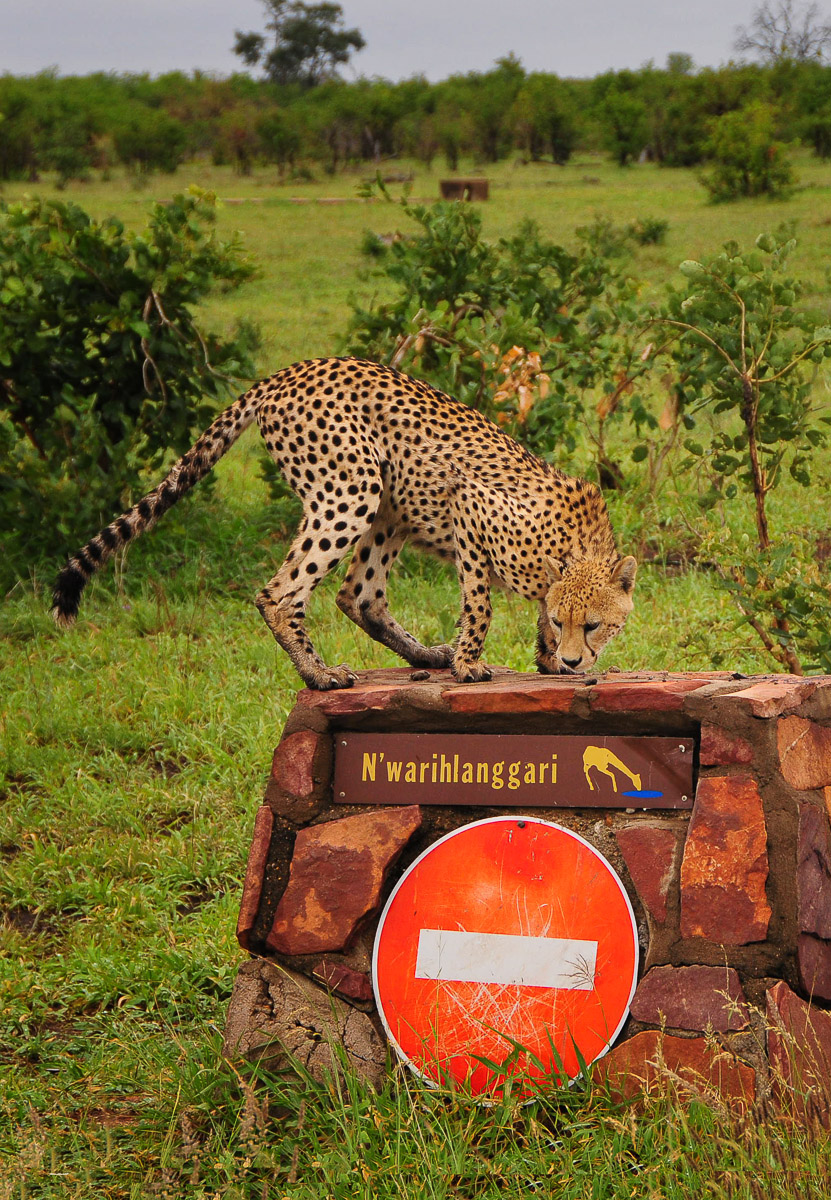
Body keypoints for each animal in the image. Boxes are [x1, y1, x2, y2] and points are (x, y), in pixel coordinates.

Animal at [52, 356, 637, 689]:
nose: (574, 658)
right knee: (281, 593)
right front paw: (471, 664)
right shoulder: (470, 505)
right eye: (577, 623)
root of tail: (288, 372)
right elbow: (479, 603)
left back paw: (423, 654)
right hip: (351, 491)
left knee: (359, 595)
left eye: (592, 624)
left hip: (388, 506)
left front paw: (547, 659)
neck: (577, 543)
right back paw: (320, 675)